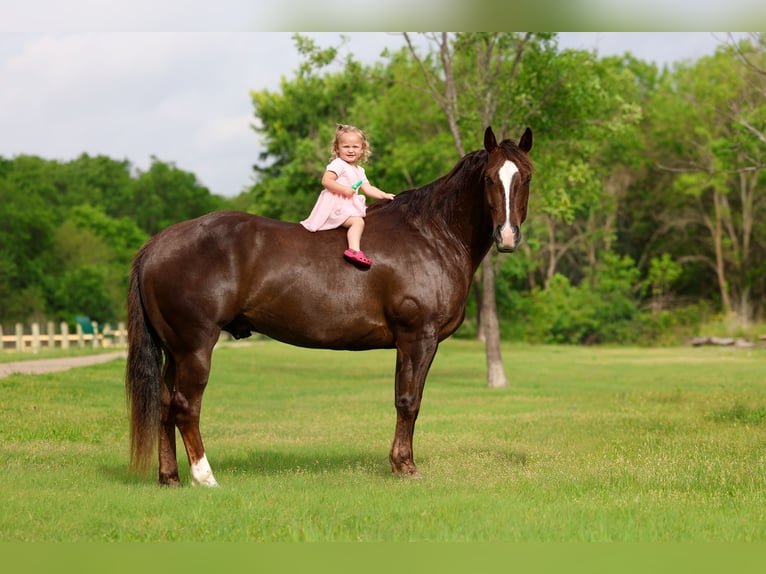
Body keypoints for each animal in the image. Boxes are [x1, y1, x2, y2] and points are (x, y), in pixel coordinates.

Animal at [125, 126, 533, 486]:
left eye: (526, 177)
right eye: (489, 179)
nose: (507, 236)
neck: (431, 235)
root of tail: (159, 243)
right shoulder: (417, 338)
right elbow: (408, 401)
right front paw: (404, 466)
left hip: (174, 351)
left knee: (165, 406)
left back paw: (170, 477)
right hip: (195, 347)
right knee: (186, 407)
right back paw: (204, 477)